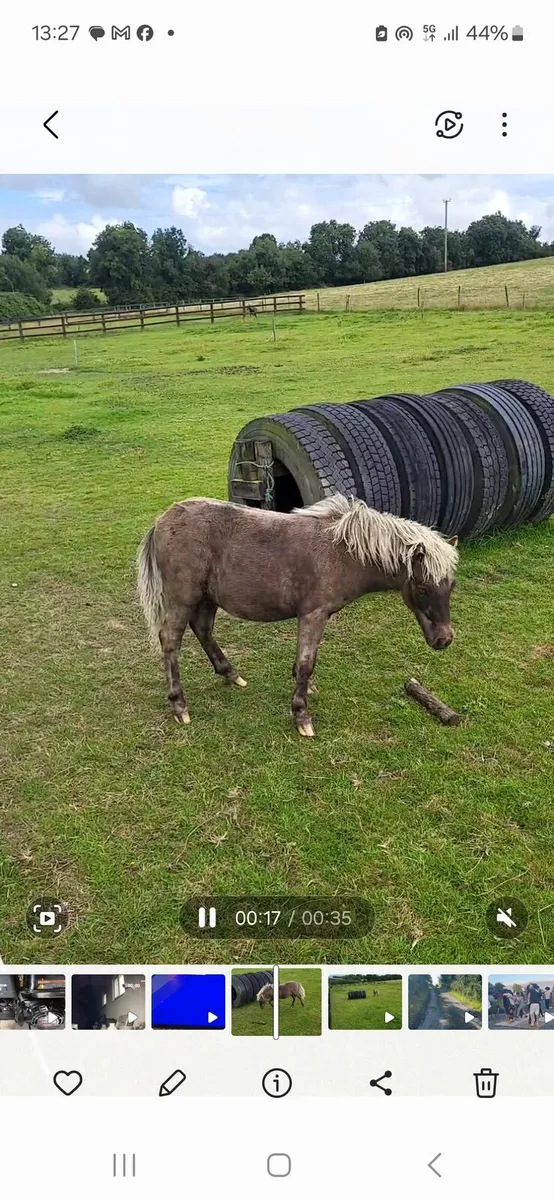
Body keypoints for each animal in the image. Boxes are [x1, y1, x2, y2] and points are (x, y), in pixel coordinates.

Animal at [136, 494, 458, 736]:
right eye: (422, 587)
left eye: (451, 584)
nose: (444, 639)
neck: (340, 553)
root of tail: (162, 521)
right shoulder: (313, 614)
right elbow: (306, 662)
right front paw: (301, 715)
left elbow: (305, 662)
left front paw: (307, 689)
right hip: (183, 598)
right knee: (170, 641)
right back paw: (180, 705)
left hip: (206, 599)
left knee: (202, 629)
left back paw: (231, 675)